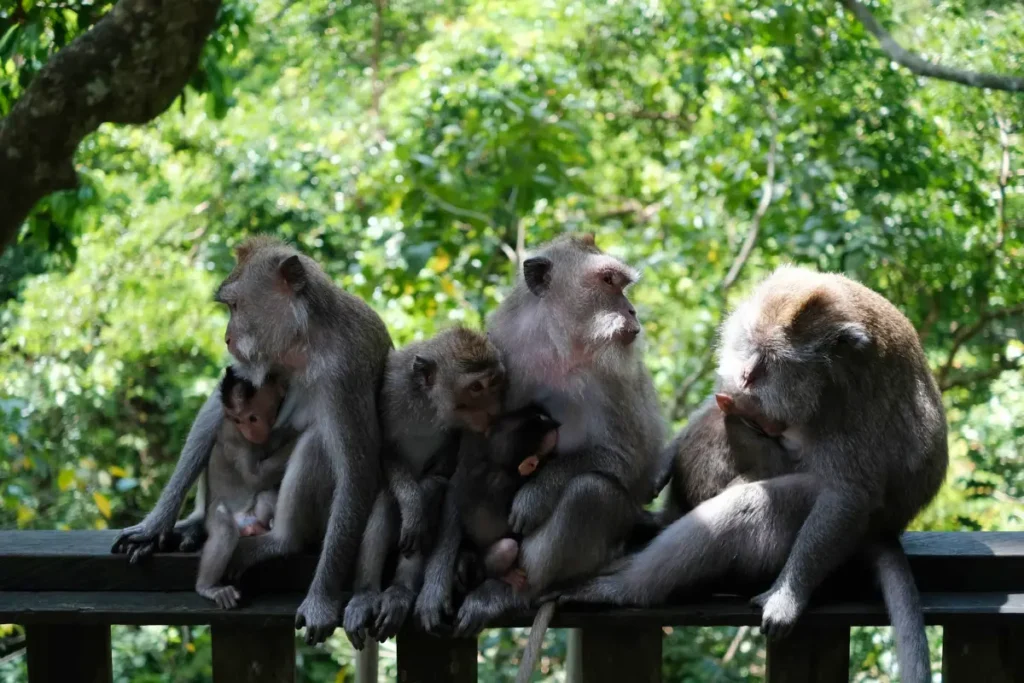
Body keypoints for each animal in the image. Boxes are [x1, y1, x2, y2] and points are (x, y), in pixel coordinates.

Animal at [195, 367, 296, 608]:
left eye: (252, 417)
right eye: (237, 420)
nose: (250, 431)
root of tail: (246, 524)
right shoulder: (235, 438)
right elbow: (254, 477)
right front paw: (296, 435)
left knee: (265, 497)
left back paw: (269, 523)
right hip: (217, 513)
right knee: (225, 531)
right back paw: (208, 587)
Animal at [342, 327, 505, 649]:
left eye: (494, 383)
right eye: (476, 387)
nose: (494, 411)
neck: (429, 406)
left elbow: (444, 479)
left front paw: (423, 501)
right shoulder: (392, 389)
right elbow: (388, 452)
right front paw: (411, 503)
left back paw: (400, 592)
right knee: (387, 499)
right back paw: (365, 595)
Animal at [557, 265, 947, 683]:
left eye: (770, 358)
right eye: (749, 344)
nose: (746, 374)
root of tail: (887, 531)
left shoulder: (849, 404)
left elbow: (848, 495)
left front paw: (787, 596)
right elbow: (720, 400)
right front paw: (664, 460)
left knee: (750, 504)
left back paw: (627, 588)